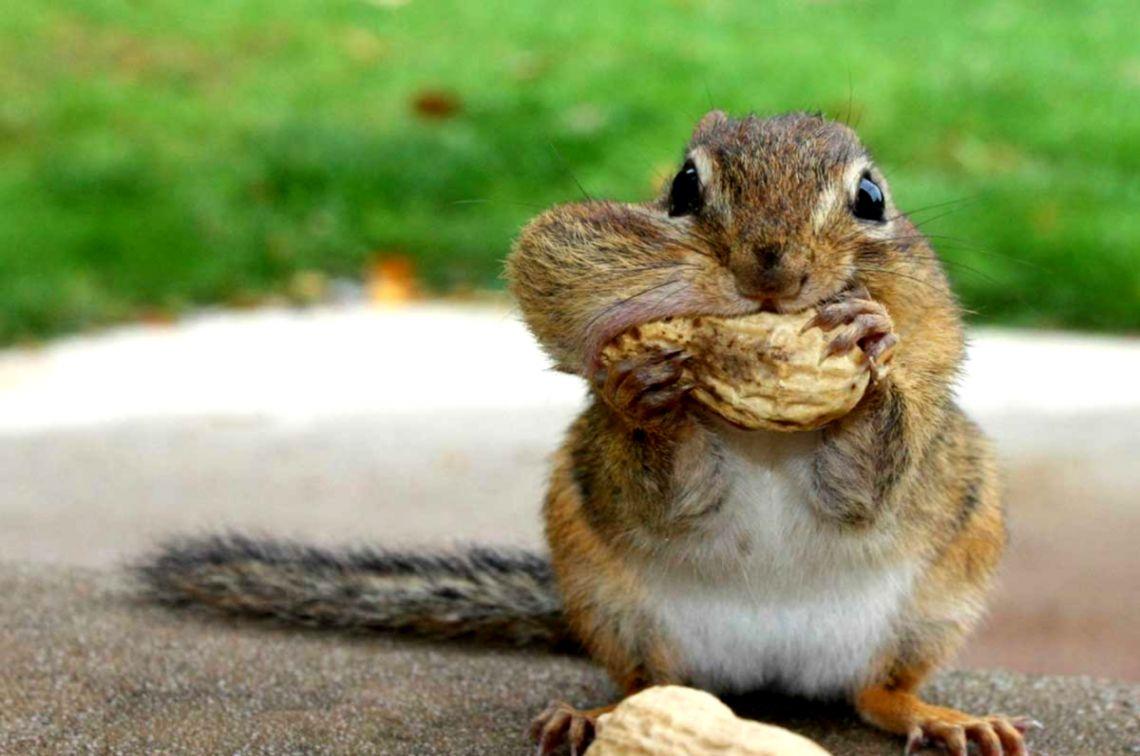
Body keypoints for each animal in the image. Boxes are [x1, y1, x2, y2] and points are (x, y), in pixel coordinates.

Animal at [140, 111, 1036, 755]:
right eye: (683, 187)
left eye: (872, 198)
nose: (771, 267)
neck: (765, 440)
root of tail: (765, 672)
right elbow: (672, 489)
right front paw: (648, 392)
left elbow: (866, 484)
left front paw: (870, 347)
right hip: (611, 602)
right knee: (644, 684)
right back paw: (590, 718)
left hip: (936, 603)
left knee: (875, 691)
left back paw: (942, 717)